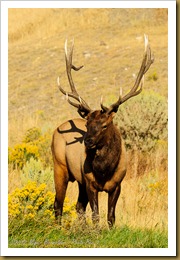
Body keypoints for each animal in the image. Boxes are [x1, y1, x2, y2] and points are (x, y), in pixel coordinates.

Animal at [51, 35, 153, 228]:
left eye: (105, 125)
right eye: (87, 124)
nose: (88, 141)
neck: (105, 171)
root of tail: (57, 129)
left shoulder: (117, 185)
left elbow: (111, 217)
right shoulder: (91, 183)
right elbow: (96, 216)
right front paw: (96, 232)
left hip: (79, 180)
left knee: (78, 206)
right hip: (59, 166)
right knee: (58, 204)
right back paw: (57, 228)